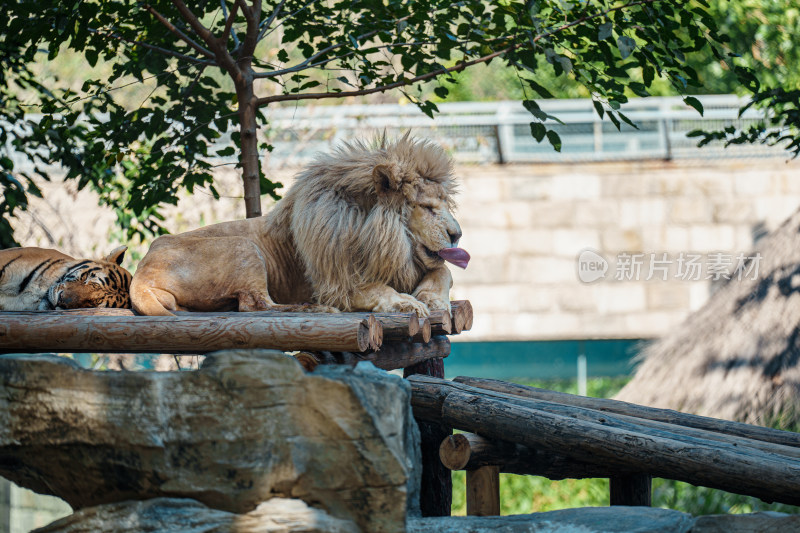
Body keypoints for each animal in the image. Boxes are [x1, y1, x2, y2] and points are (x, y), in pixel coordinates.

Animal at [130, 135, 468, 316]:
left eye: (444, 204)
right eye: (426, 207)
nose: (457, 234)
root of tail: (142, 269)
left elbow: (443, 271)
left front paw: (431, 298)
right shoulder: (335, 284)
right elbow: (377, 289)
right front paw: (406, 302)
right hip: (244, 246)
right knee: (257, 306)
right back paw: (316, 309)